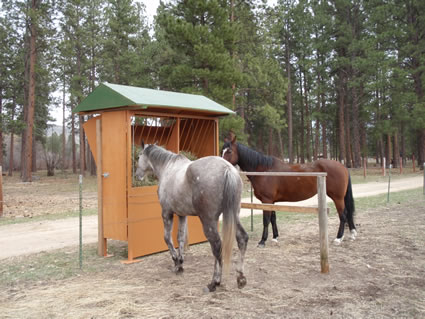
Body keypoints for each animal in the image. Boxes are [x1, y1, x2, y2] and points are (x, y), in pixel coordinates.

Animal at [136, 144, 248, 294]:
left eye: (139, 156)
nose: (138, 175)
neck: (168, 168)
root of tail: (227, 169)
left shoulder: (167, 213)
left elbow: (167, 238)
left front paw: (176, 261)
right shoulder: (182, 215)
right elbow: (180, 238)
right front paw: (180, 263)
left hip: (208, 221)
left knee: (216, 246)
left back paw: (214, 283)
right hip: (234, 215)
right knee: (242, 238)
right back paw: (240, 278)